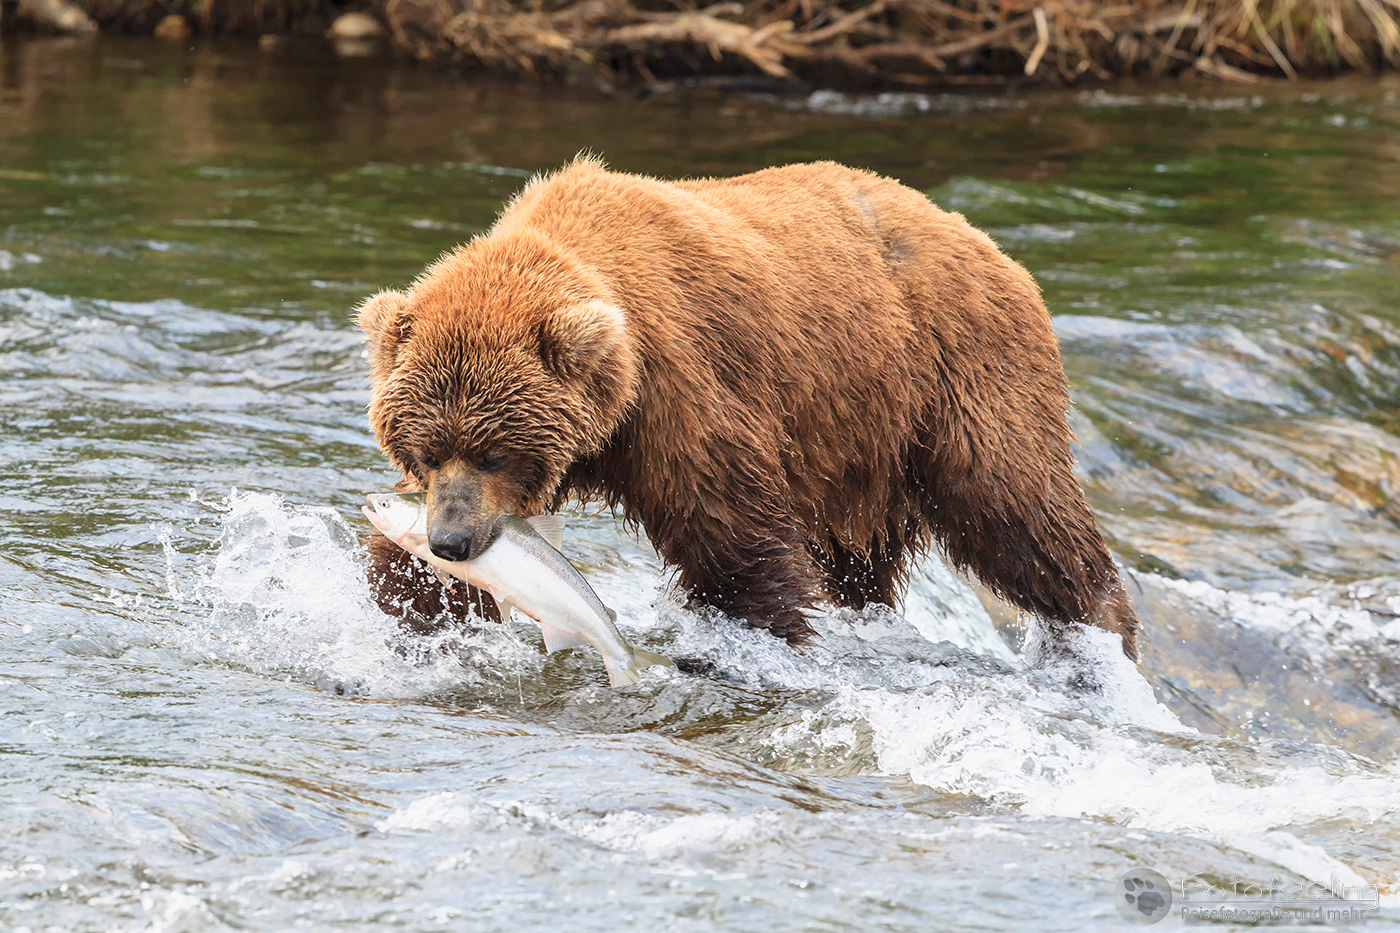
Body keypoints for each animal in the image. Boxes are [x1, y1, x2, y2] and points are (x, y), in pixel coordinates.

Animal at [357, 156, 1141, 659]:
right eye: (425, 450)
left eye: (496, 451)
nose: (452, 540)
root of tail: (989, 243)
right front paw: (417, 609)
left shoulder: (683, 389)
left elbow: (730, 535)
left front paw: (760, 632)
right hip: (861, 441)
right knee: (860, 558)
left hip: (957, 374)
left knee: (1017, 507)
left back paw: (1101, 634)